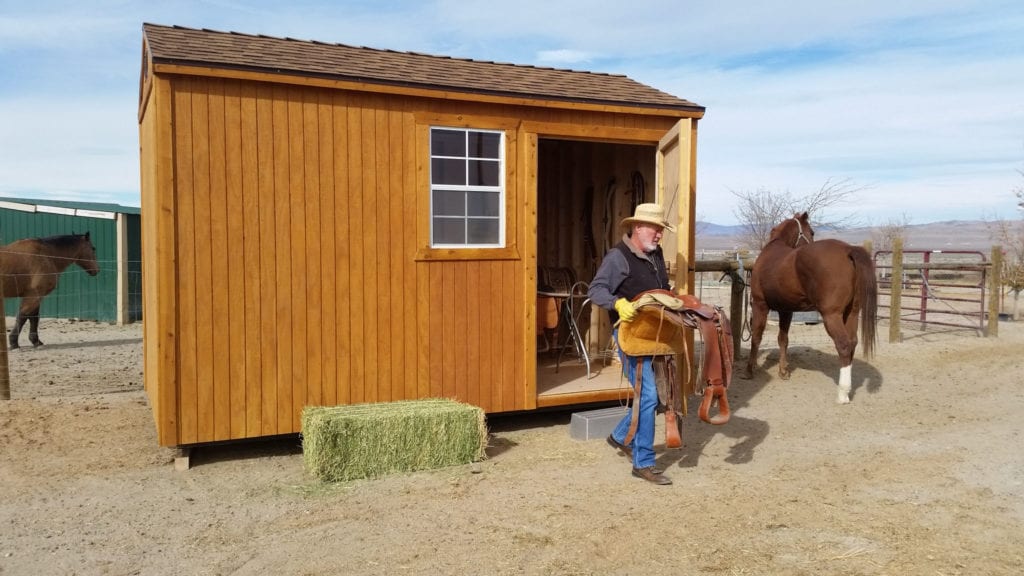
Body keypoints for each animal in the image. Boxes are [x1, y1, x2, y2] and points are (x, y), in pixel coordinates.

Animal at [741, 212, 876, 403]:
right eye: (811, 232)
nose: (812, 238)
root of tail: (848, 250)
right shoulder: (786, 310)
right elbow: (783, 339)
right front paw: (783, 371)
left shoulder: (760, 305)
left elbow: (756, 337)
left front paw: (749, 370)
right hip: (852, 313)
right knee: (852, 343)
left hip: (831, 315)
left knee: (843, 345)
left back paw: (842, 394)